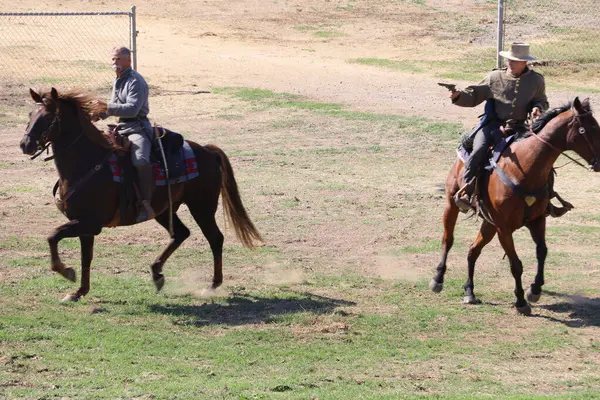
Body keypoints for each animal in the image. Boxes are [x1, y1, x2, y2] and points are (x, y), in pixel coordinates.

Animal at [18, 86, 262, 300]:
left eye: (48, 117)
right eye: (30, 114)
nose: (25, 144)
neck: (87, 163)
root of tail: (207, 151)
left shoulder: (89, 223)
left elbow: (53, 236)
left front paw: (66, 271)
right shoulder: (84, 225)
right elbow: (85, 258)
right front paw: (79, 292)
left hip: (202, 207)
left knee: (215, 238)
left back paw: (212, 284)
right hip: (163, 210)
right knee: (180, 234)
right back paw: (157, 273)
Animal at [428, 97, 600, 316]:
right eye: (588, 129)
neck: (525, 169)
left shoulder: (537, 220)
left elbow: (542, 251)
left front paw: (534, 290)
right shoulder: (504, 228)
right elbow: (516, 264)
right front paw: (520, 301)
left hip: (489, 224)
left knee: (473, 250)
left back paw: (469, 291)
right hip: (452, 204)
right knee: (448, 240)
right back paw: (438, 279)